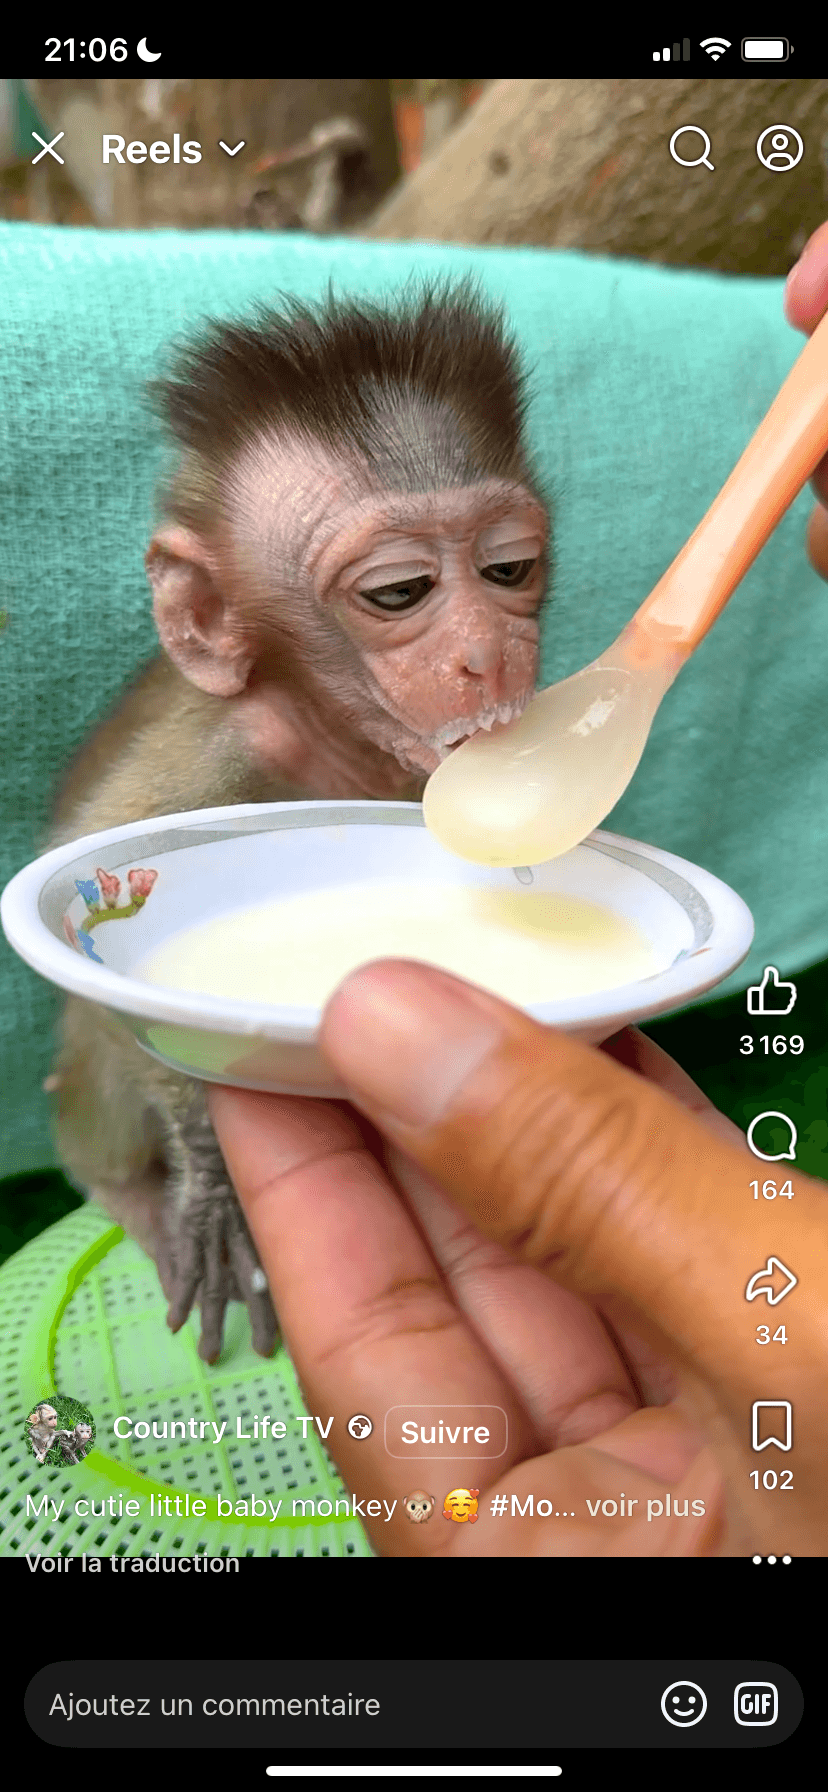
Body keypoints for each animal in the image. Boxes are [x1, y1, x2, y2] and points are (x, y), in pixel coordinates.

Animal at [45, 276, 550, 1367]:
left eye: (509, 569)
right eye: (399, 591)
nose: (491, 654)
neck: (322, 731)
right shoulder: (198, 770)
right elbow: (103, 962)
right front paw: (208, 1172)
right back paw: (124, 1187)